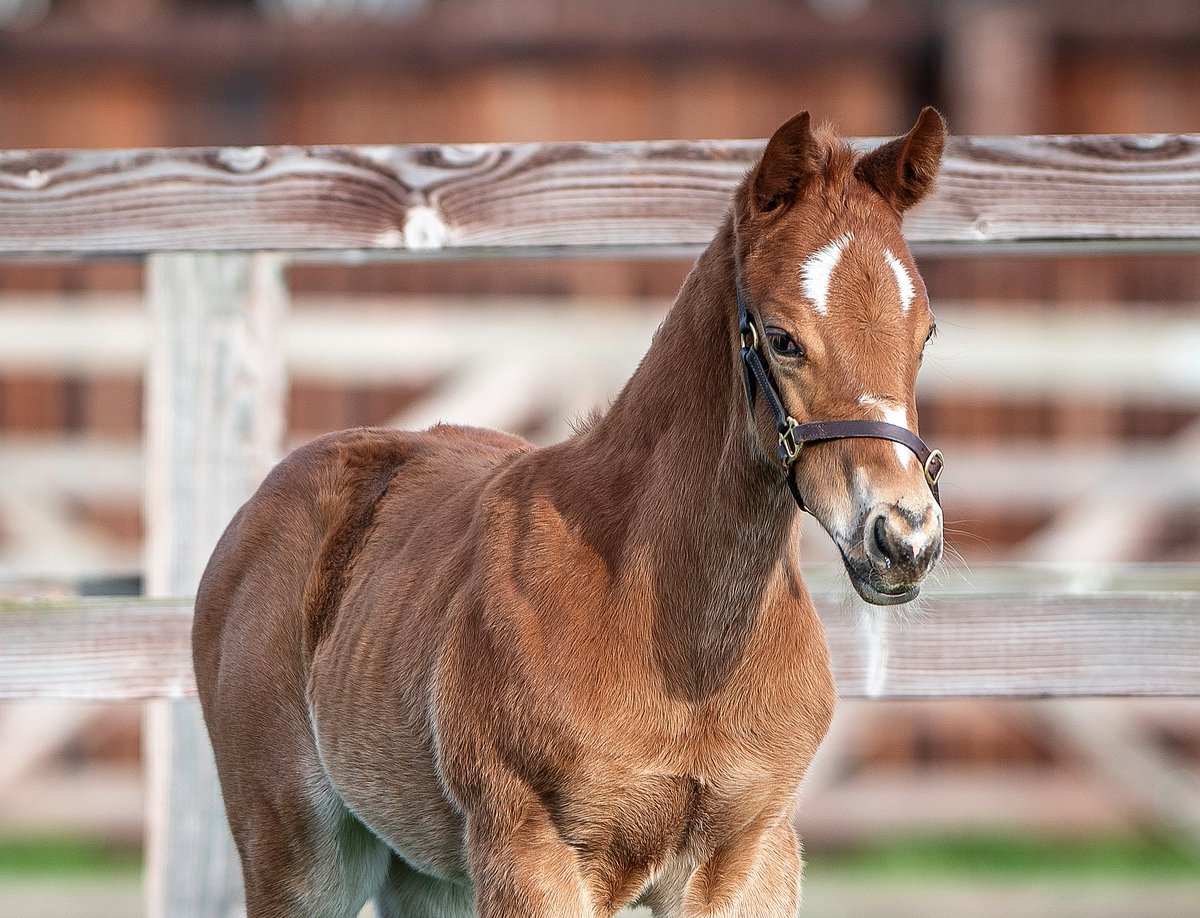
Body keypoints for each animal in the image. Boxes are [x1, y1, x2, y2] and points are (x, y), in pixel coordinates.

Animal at [193, 107, 947, 918]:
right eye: (781, 338)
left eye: (925, 333)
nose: (902, 537)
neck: (681, 647)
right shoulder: (534, 856)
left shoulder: (756, 856)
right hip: (299, 852)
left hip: (427, 873)